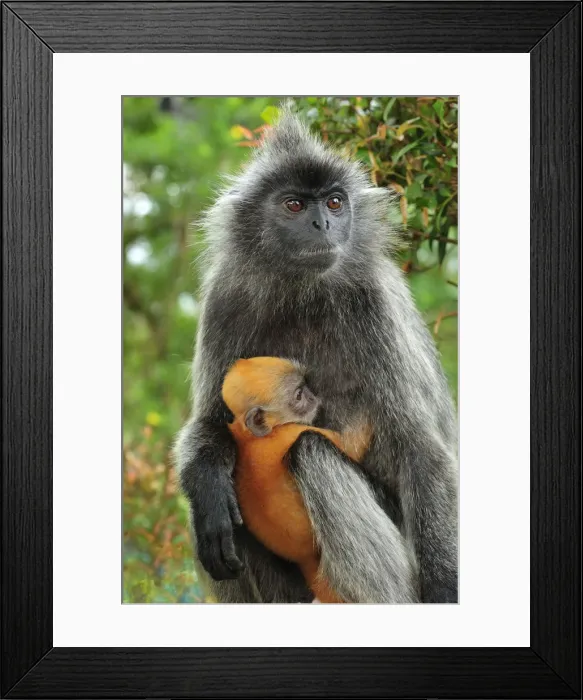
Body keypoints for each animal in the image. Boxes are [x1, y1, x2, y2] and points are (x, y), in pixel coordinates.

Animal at [222, 356, 373, 603]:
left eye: (305, 387)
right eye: (299, 395)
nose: (313, 396)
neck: (249, 438)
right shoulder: (289, 433)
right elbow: (350, 444)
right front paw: (361, 412)